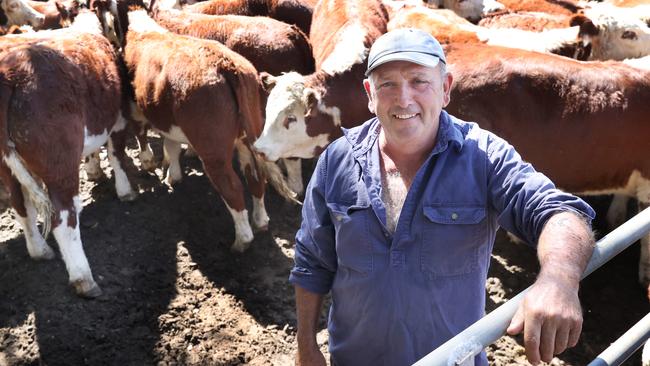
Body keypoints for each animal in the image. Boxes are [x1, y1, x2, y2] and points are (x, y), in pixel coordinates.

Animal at [0, 9, 137, 298]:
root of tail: (10, 75)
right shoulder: (118, 118)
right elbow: (117, 155)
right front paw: (125, 191)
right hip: (58, 163)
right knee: (62, 220)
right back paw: (83, 279)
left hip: (6, 167)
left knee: (22, 206)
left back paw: (39, 250)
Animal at [92, 0, 294, 252]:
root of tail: (226, 64)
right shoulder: (167, 118)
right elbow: (171, 145)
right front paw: (173, 174)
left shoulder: (135, 108)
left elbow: (144, 136)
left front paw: (151, 164)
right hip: (251, 133)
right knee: (256, 177)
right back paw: (260, 221)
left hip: (213, 151)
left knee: (232, 188)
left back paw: (242, 240)